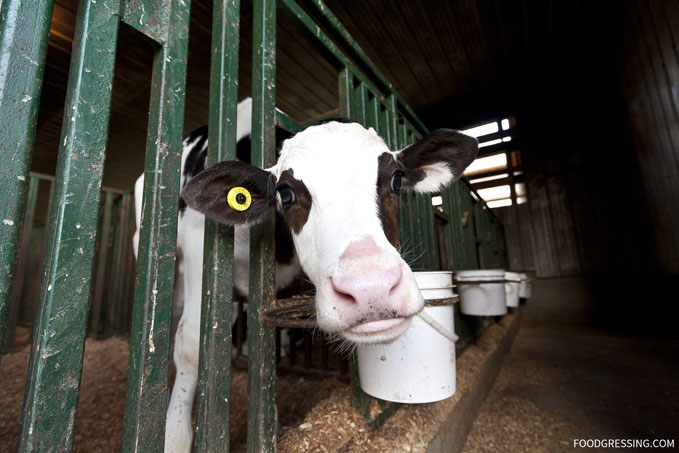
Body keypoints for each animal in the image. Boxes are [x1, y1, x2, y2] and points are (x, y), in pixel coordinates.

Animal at [133, 97, 476, 450]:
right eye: (285, 193)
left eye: (396, 179)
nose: (372, 288)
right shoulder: (198, 243)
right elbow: (190, 344)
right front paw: (174, 435)